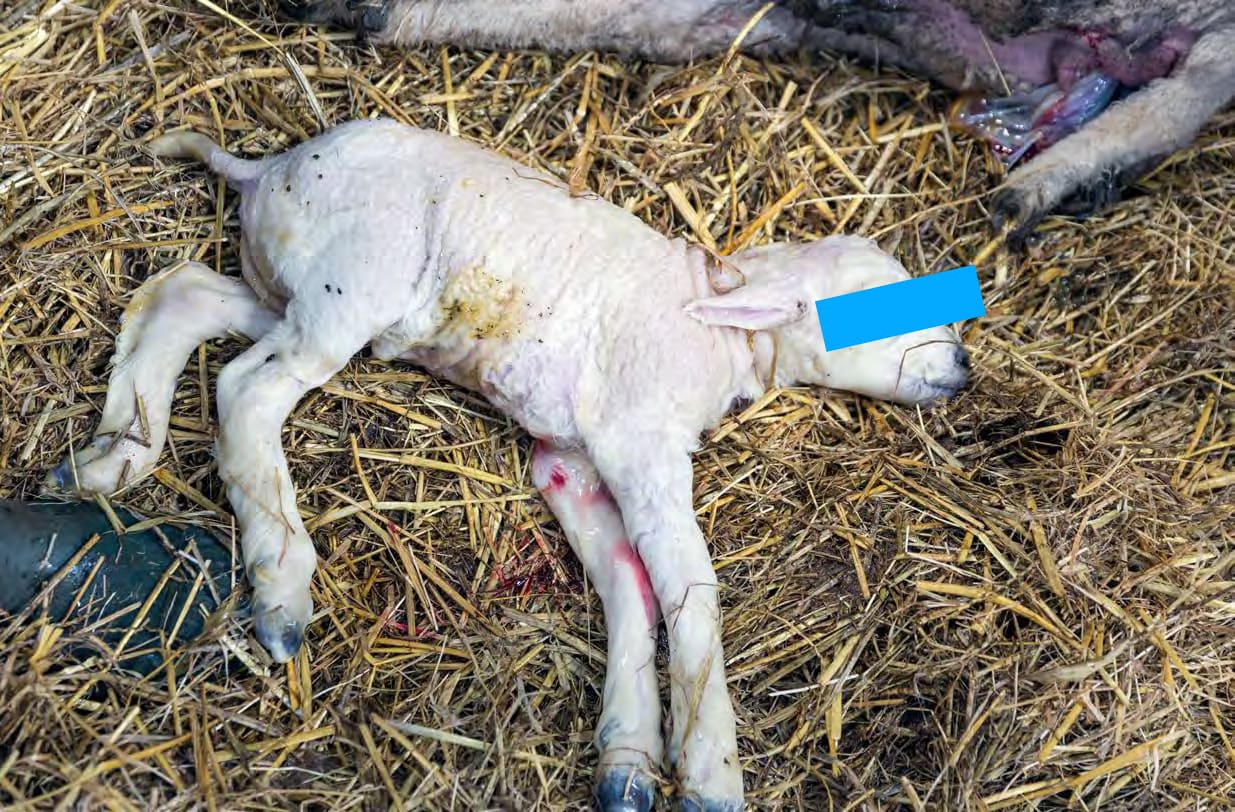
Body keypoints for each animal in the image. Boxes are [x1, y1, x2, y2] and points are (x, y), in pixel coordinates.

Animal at [48, 118, 973, 810]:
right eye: (887, 306)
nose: (961, 368)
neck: (718, 332)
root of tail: (264, 168)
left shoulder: (568, 460)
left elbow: (629, 587)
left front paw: (629, 764)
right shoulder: (640, 442)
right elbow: (688, 591)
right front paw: (711, 771)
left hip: (288, 287)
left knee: (183, 294)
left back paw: (110, 460)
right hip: (354, 286)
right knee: (247, 390)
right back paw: (280, 587)